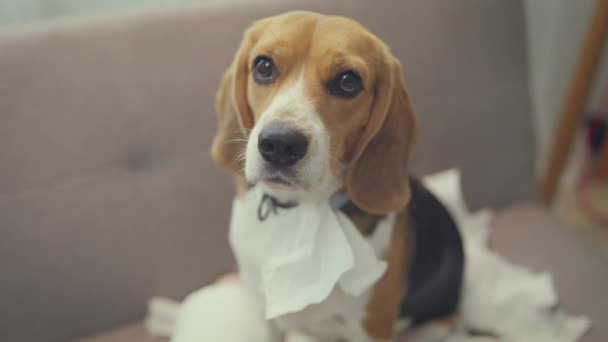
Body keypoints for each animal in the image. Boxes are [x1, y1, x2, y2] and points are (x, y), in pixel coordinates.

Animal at [211, 10, 464, 342]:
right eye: (263, 66)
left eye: (348, 81)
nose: (279, 144)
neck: (299, 212)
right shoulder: (262, 307)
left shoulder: (372, 327)